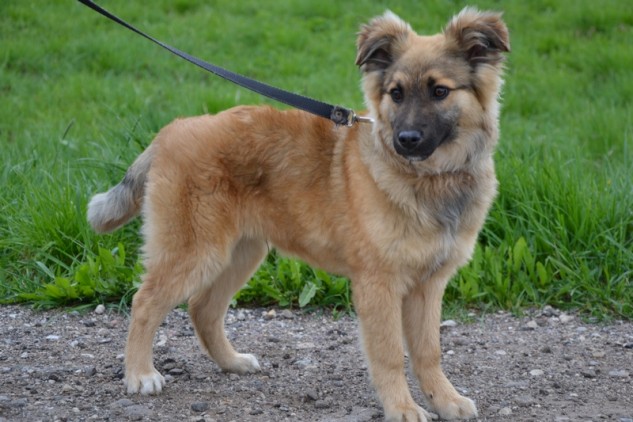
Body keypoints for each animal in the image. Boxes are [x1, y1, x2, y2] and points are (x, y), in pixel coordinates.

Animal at [87, 7, 509, 421]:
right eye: (396, 93)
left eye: (440, 91)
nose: (404, 141)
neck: (432, 179)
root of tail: (169, 132)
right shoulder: (379, 284)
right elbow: (390, 354)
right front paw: (402, 408)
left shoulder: (428, 285)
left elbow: (428, 351)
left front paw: (445, 400)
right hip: (194, 251)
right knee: (145, 303)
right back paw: (140, 374)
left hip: (241, 253)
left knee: (203, 309)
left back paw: (231, 362)